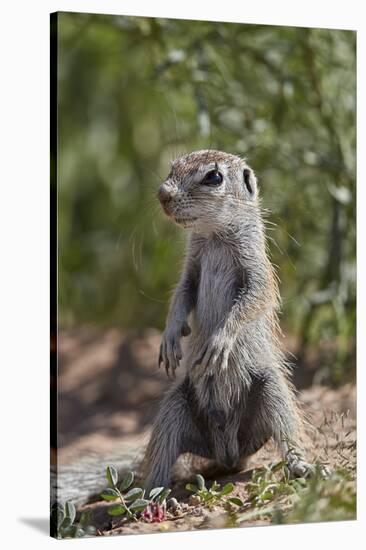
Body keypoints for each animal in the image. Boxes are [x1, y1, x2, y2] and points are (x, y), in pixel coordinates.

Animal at [143, 150, 314, 492]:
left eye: (214, 177)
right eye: (173, 167)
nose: (162, 194)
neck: (214, 237)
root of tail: (228, 452)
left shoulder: (257, 271)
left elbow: (251, 301)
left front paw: (219, 341)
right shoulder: (191, 269)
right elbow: (181, 295)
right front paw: (170, 336)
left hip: (271, 389)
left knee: (287, 429)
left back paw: (302, 466)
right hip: (175, 405)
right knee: (162, 452)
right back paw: (155, 493)